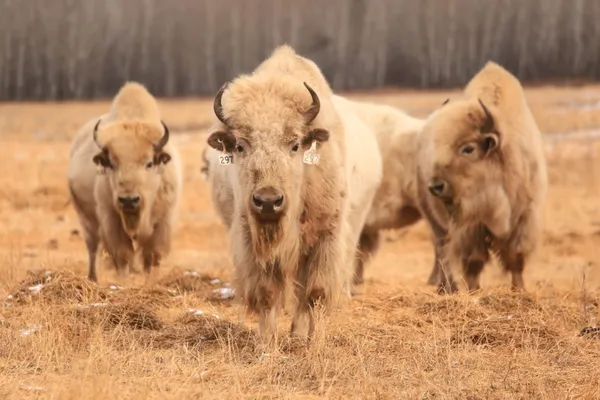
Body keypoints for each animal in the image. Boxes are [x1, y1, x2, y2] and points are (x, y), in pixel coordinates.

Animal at [67, 81, 182, 282]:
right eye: (112, 163)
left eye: (149, 163)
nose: (129, 200)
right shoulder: (111, 220)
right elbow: (122, 255)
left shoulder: (163, 221)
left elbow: (152, 256)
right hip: (86, 220)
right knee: (93, 248)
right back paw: (92, 278)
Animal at [206, 45, 382, 342]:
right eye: (240, 146)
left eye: (295, 144)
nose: (268, 201)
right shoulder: (251, 241)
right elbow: (267, 293)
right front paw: (266, 341)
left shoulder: (325, 238)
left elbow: (315, 293)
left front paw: (305, 339)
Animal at [414, 61, 548, 294]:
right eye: (440, 145)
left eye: (468, 148)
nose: (436, 186)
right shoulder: (471, 227)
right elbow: (474, 261)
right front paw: (474, 292)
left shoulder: (524, 217)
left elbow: (516, 258)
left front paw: (520, 290)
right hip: (435, 221)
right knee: (443, 253)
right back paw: (447, 288)